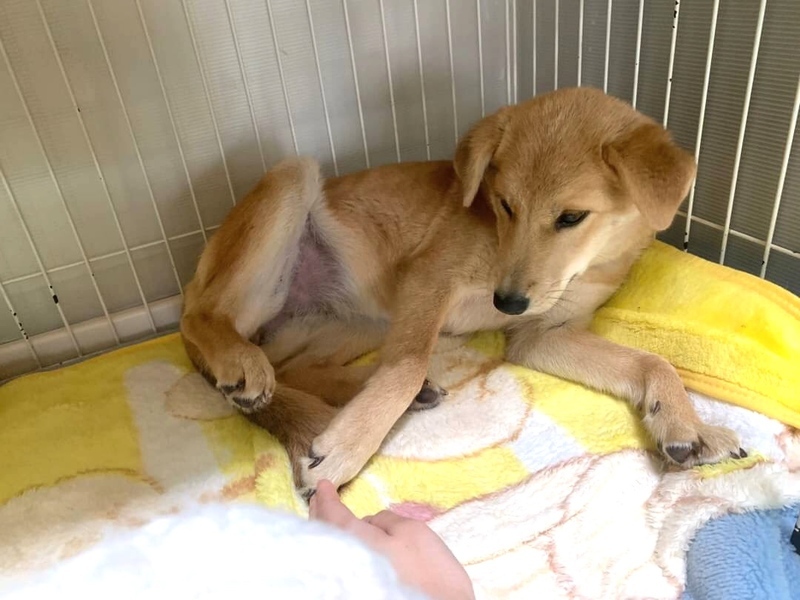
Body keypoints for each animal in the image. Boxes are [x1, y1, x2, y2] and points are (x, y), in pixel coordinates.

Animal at [180, 87, 743, 496]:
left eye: (571, 217)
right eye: (504, 204)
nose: (506, 303)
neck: (590, 267)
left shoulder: (542, 334)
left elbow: (653, 361)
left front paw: (687, 424)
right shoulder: (429, 280)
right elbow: (408, 364)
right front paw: (345, 451)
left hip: (352, 322)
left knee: (292, 370)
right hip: (289, 187)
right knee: (210, 322)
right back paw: (243, 362)